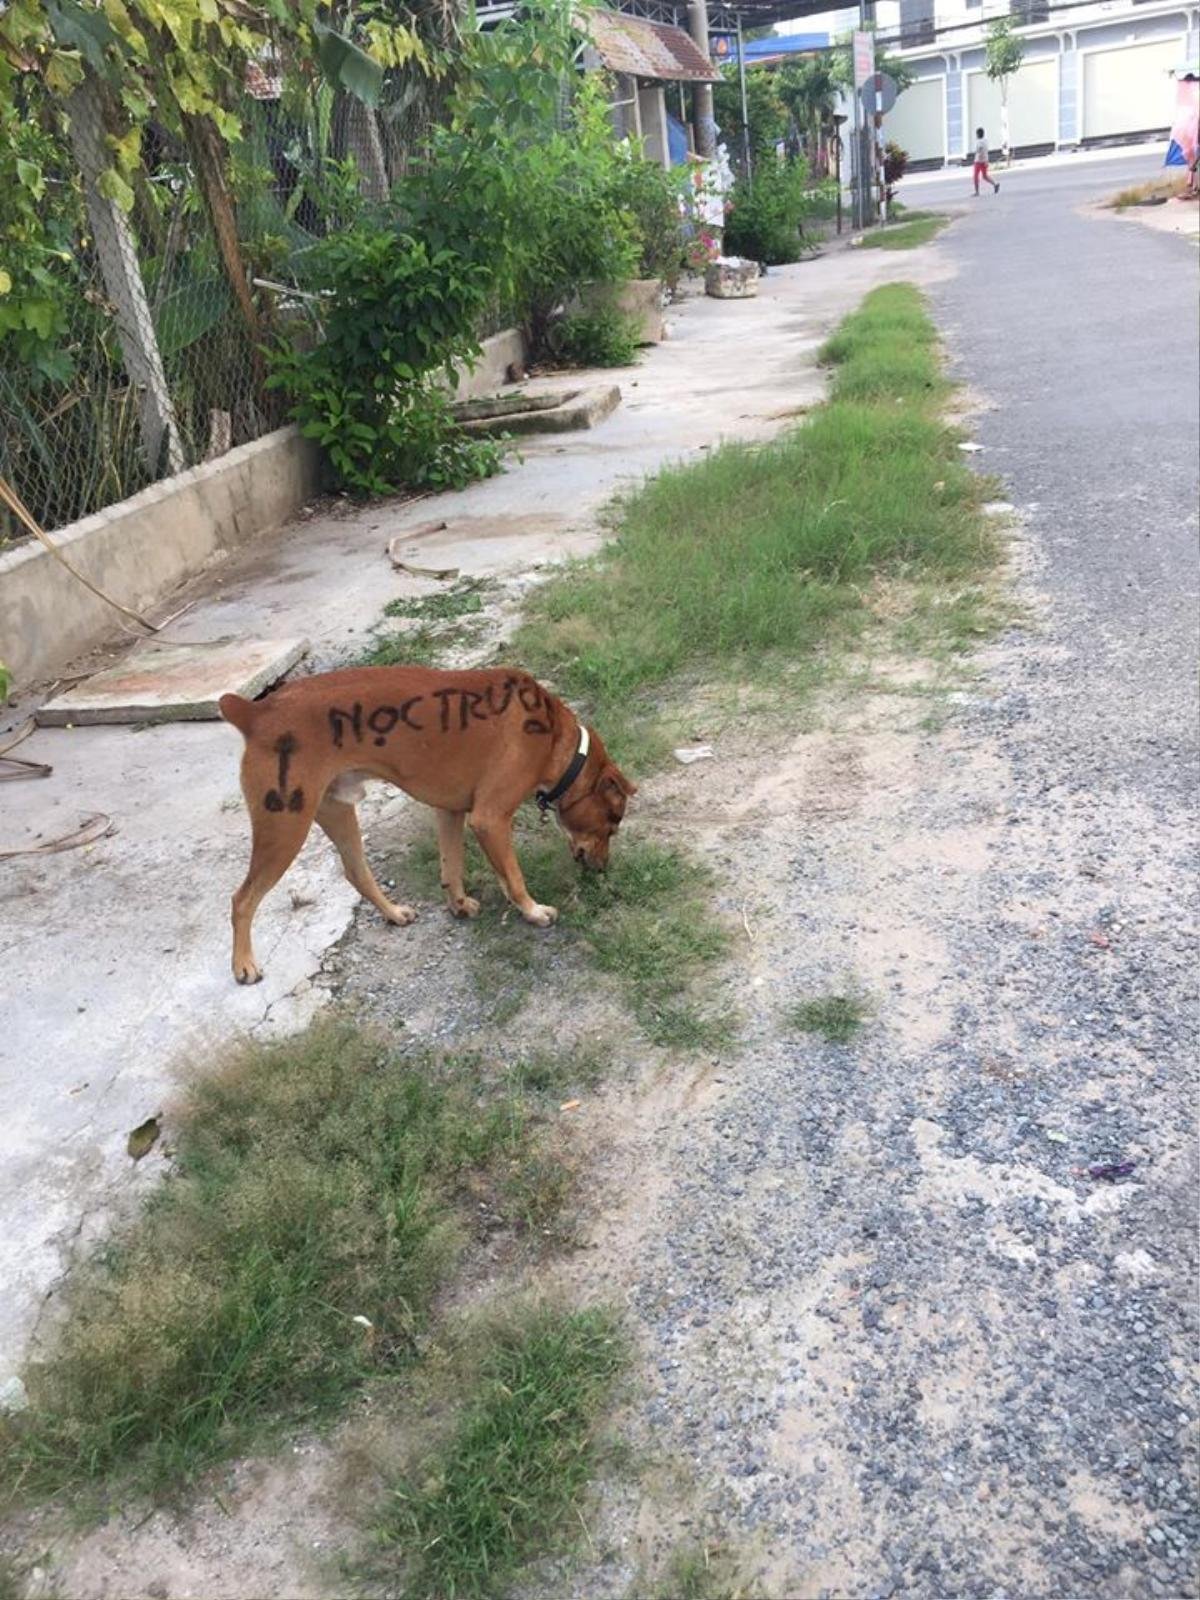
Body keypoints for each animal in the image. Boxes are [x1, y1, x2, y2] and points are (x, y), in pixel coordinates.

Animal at [224, 665, 640, 985]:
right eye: (612, 825)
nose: (603, 869)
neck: (555, 739)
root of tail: (255, 711)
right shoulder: (490, 819)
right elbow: (513, 877)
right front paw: (533, 912)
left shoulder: (450, 811)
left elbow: (451, 866)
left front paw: (458, 904)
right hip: (285, 826)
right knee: (243, 898)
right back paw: (243, 964)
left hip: (336, 811)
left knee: (357, 873)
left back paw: (393, 914)